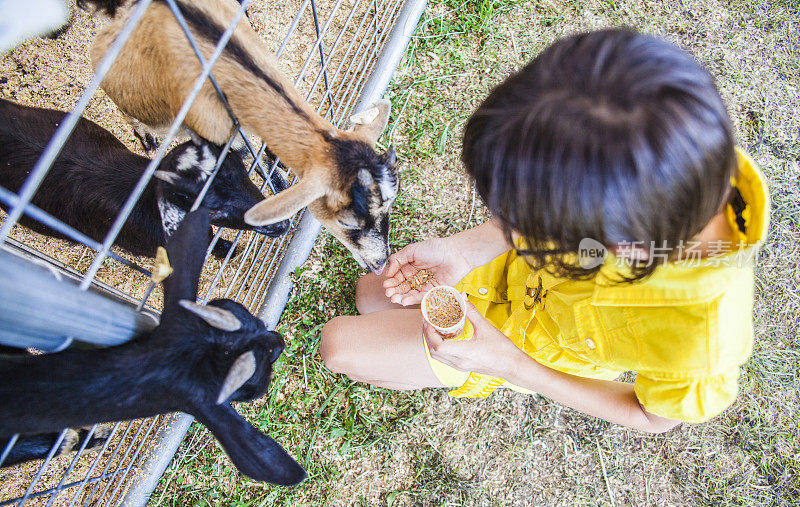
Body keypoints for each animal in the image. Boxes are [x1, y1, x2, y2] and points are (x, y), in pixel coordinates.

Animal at [86, 0, 398, 274]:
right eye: (347, 223)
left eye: (390, 203)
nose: (380, 263)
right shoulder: (214, 130)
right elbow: (247, 157)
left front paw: (278, 172)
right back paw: (147, 139)